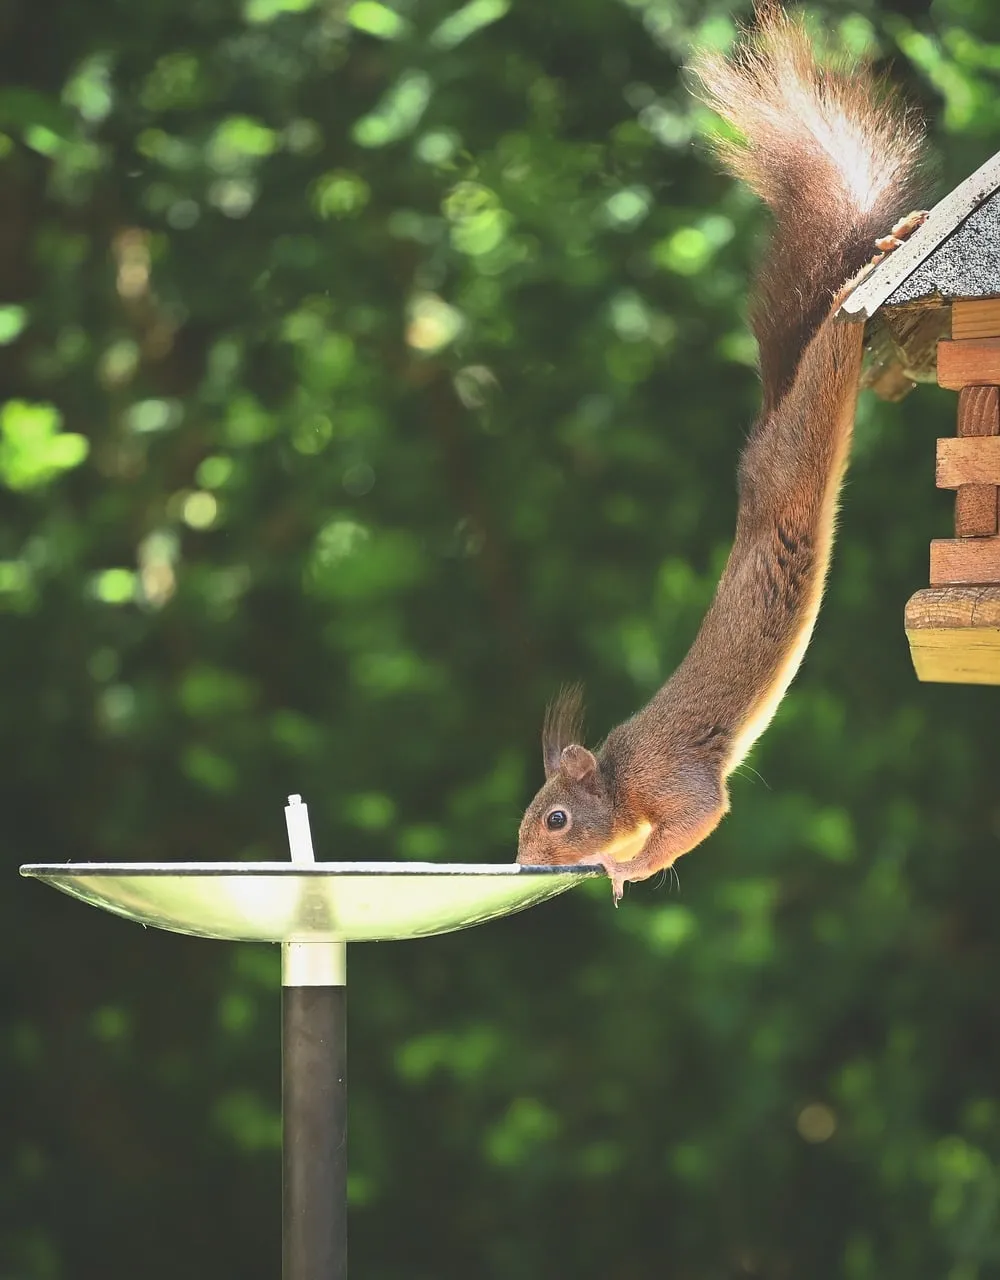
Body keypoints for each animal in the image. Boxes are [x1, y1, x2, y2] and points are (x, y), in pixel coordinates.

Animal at [516, 3, 928, 902]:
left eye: (556, 818)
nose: (522, 862)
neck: (619, 782)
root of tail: (767, 434)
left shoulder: (676, 778)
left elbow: (699, 821)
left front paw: (621, 868)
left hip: (807, 428)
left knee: (835, 332)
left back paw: (884, 255)